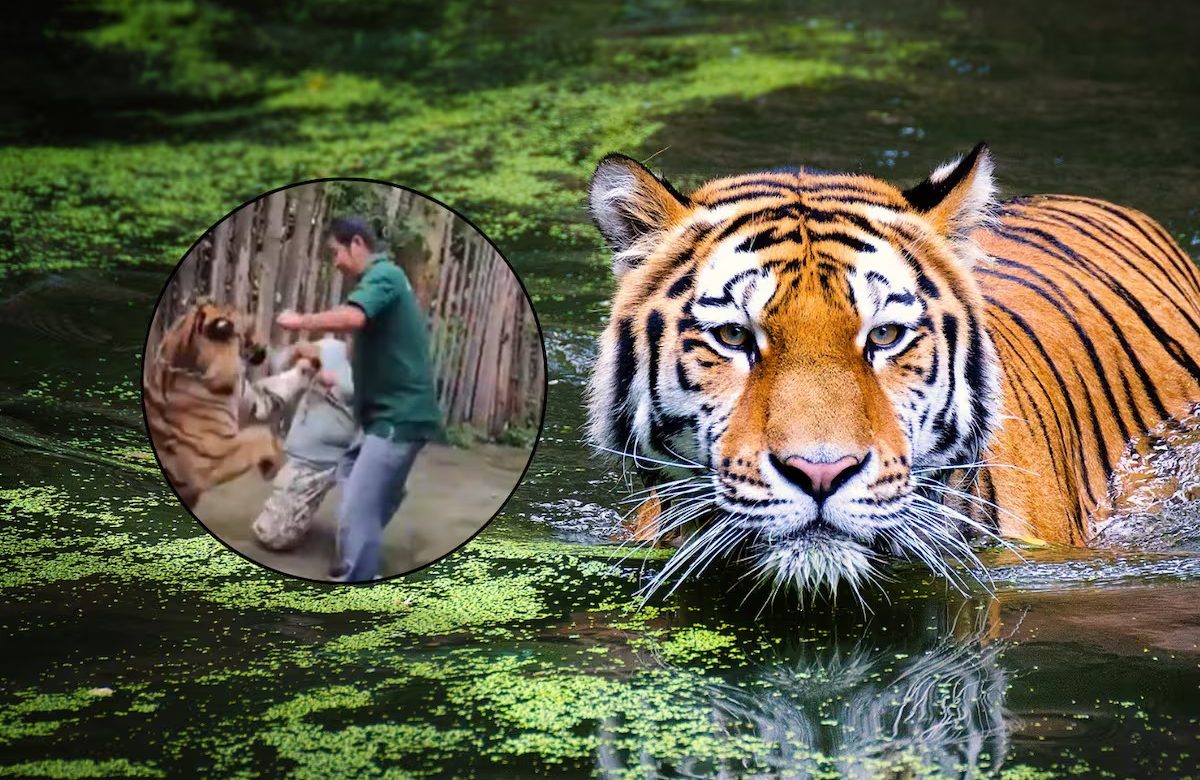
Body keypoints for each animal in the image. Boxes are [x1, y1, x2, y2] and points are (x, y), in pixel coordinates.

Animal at [143, 301, 320, 509]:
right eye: (248, 329)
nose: (266, 345)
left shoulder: (253, 402)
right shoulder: (211, 456)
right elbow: (261, 435)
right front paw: (273, 464)